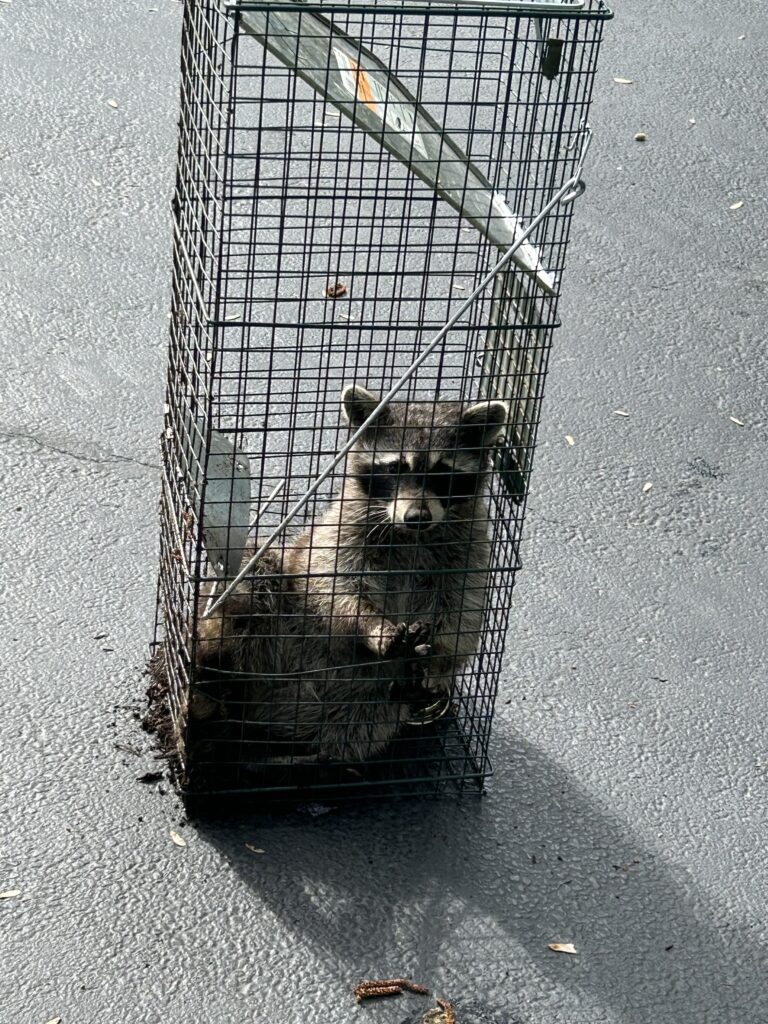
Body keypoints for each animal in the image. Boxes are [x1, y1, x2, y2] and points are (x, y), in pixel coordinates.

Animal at [178, 385, 508, 770]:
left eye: (443, 472)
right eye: (395, 467)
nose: (417, 516)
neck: (410, 536)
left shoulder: (469, 550)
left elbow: (460, 614)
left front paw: (439, 659)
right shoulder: (340, 534)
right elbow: (333, 585)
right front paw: (371, 623)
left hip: (359, 705)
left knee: (360, 726)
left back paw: (300, 754)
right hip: (264, 611)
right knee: (254, 577)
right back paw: (213, 671)